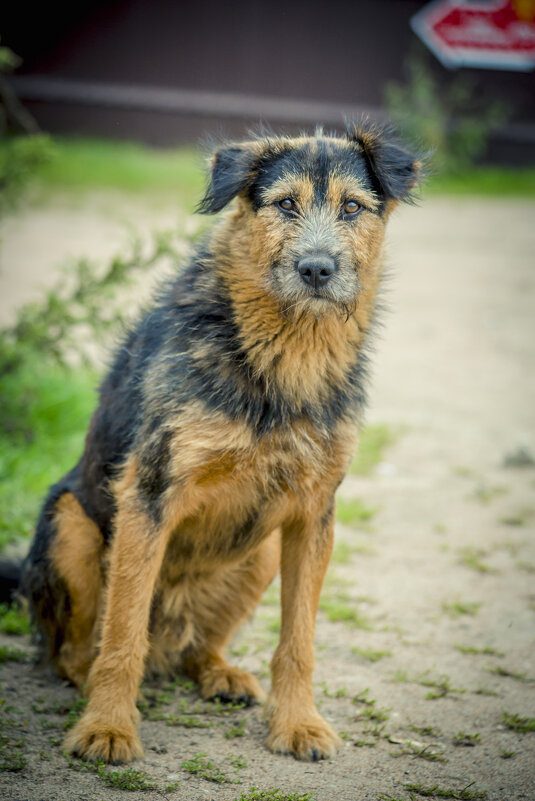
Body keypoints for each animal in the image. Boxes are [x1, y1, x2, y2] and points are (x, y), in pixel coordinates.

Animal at [22, 120, 422, 764]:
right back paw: (90, 682)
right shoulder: (150, 496)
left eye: (352, 207)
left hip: (259, 552)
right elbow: (122, 633)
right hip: (69, 524)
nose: (316, 269)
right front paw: (108, 727)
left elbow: (298, 641)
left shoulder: (313, 513)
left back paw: (220, 673)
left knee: (195, 648)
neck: (286, 356)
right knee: (72, 650)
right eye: (284, 204)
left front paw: (298, 723)